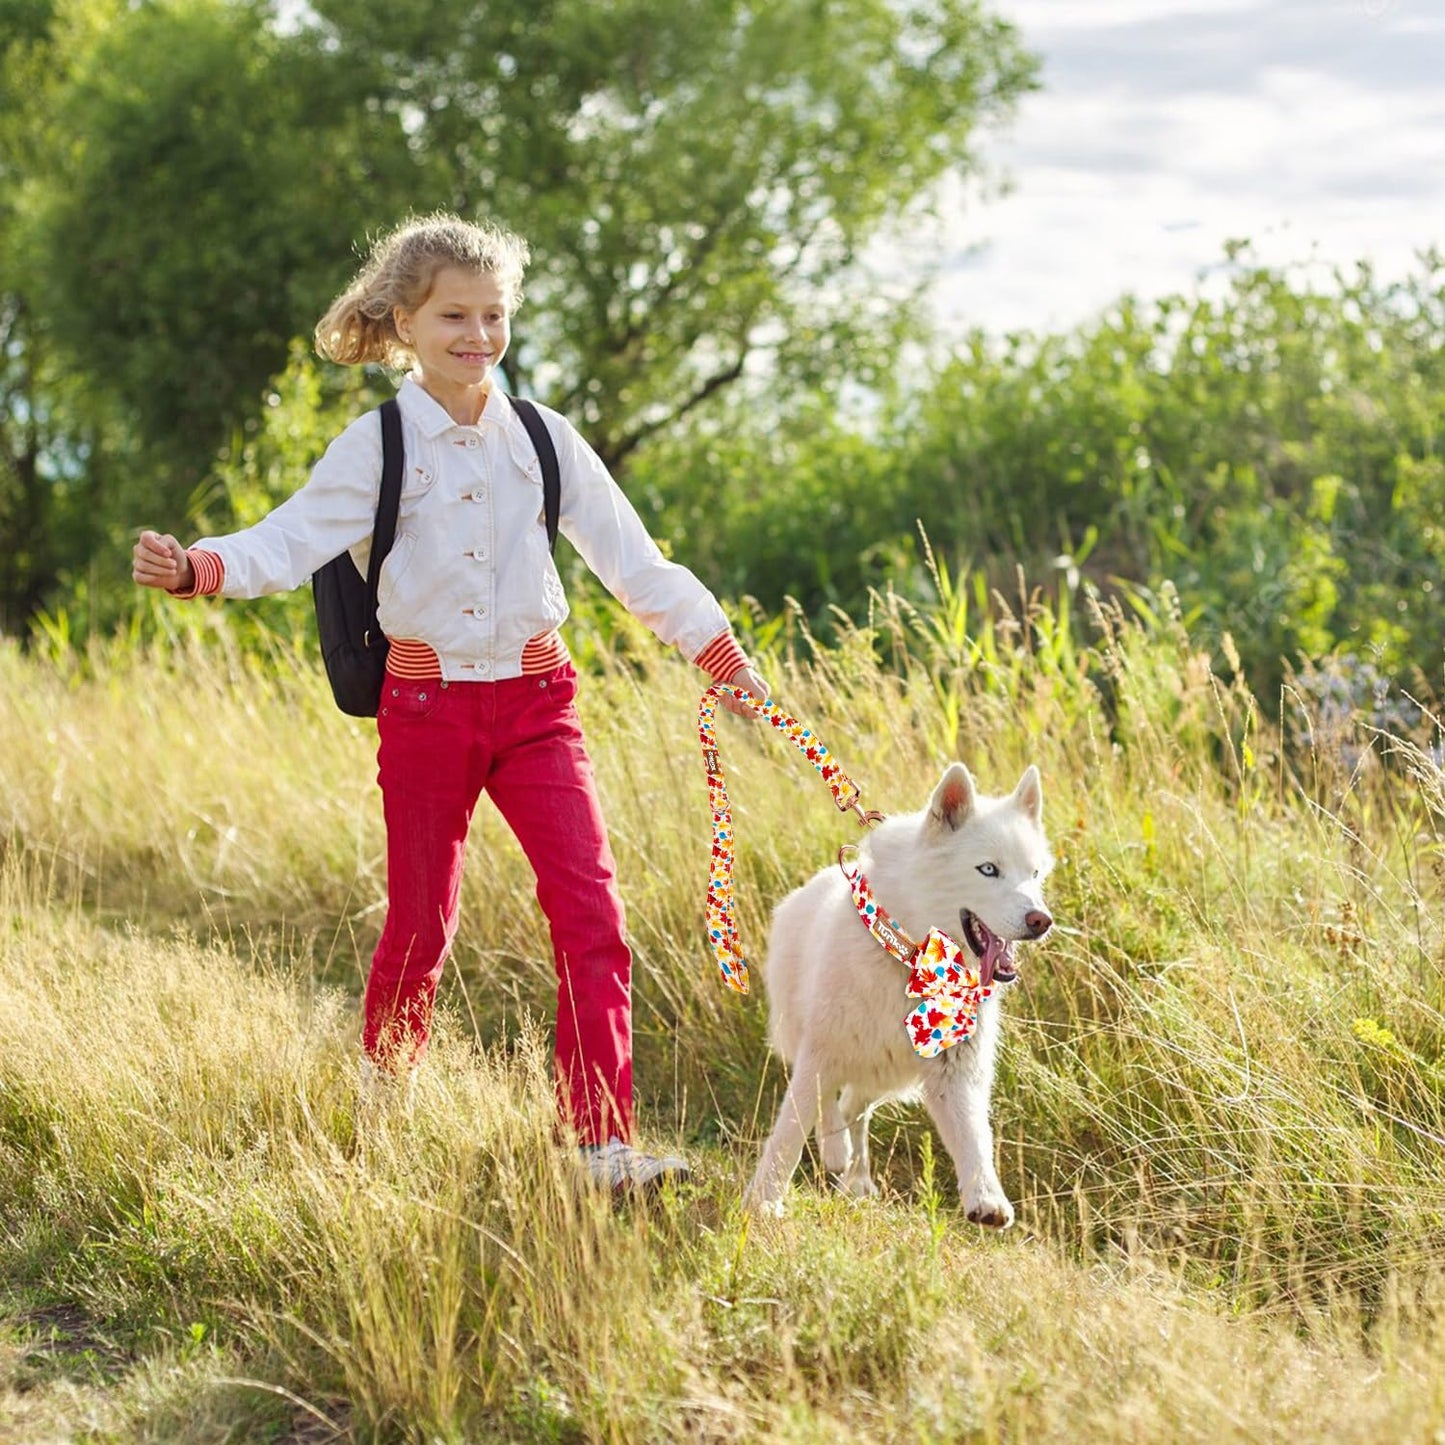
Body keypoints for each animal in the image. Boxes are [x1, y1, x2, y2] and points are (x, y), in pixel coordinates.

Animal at [745, 762, 1051, 1225]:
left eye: (1033, 875)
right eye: (988, 870)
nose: (1041, 920)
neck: (915, 963)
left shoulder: (955, 1072)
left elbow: (974, 1137)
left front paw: (985, 1198)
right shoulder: (821, 1050)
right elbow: (790, 1131)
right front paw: (763, 1200)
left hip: (883, 1073)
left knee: (854, 1108)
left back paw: (856, 1178)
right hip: (815, 1041)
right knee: (832, 1104)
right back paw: (835, 1151)